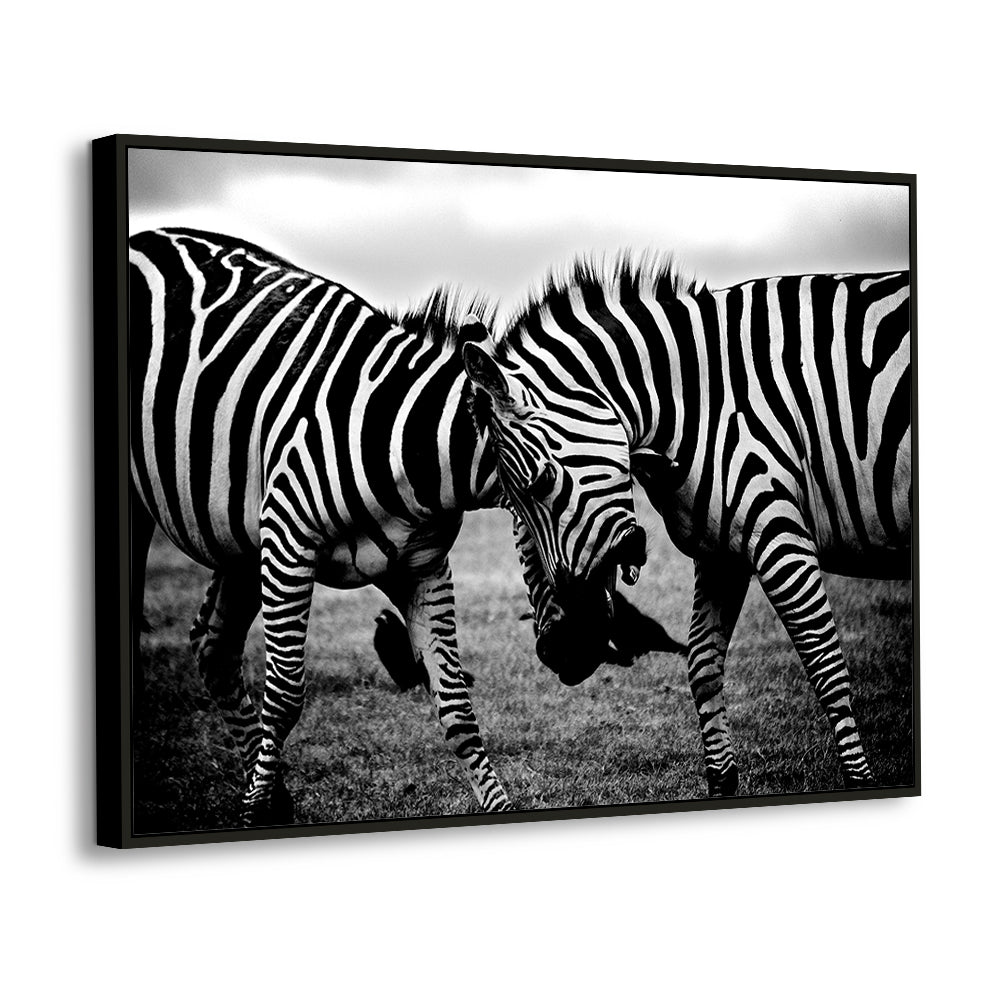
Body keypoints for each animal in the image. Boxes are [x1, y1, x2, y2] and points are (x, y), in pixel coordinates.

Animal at [462, 256, 911, 795]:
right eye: (510, 505)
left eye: (542, 482)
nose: (561, 652)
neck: (699, 403)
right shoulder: (722, 551)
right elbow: (702, 663)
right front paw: (722, 781)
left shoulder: (779, 534)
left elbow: (825, 666)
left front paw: (859, 778)